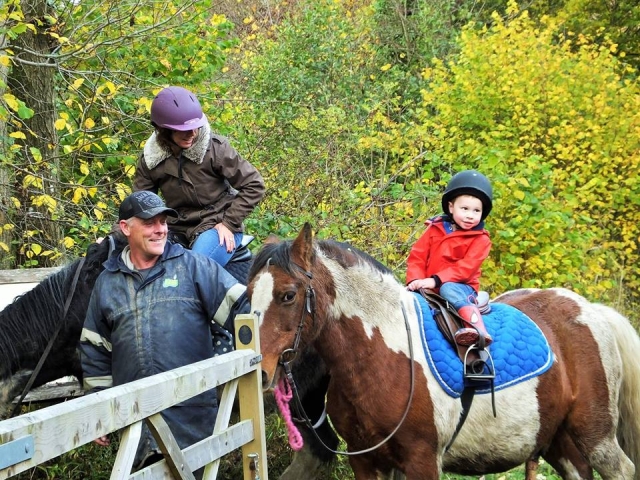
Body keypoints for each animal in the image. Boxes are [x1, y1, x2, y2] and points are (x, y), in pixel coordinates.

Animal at [247, 223, 640, 479]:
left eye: (288, 295)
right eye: (250, 295)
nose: (261, 372)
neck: (380, 358)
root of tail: (591, 309)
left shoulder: (422, 461)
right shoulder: (369, 463)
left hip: (596, 436)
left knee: (622, 468)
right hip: (560, 443)